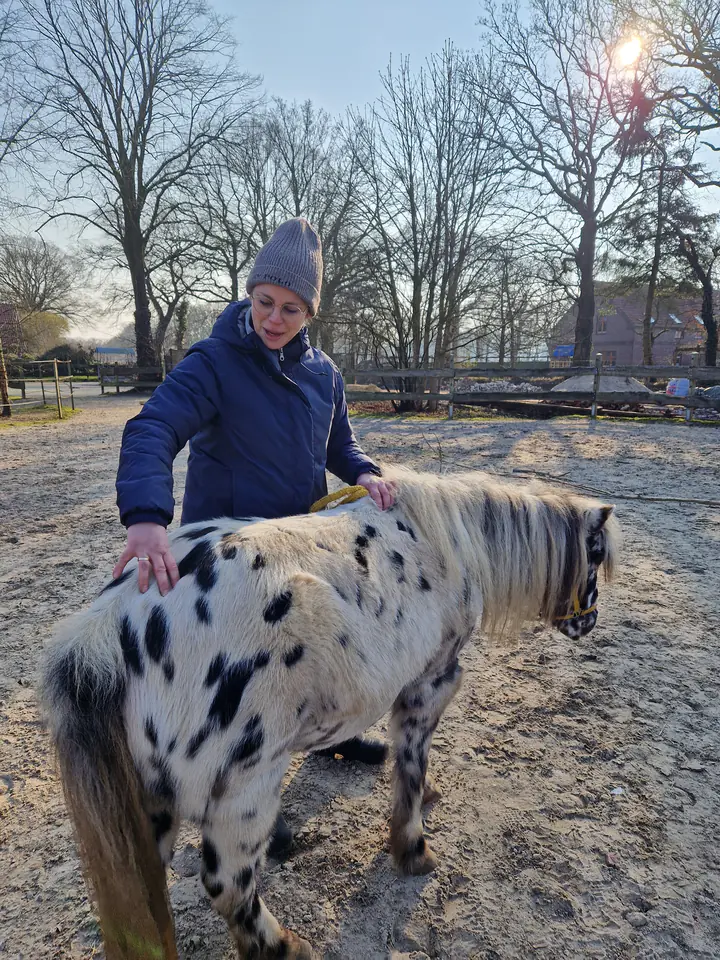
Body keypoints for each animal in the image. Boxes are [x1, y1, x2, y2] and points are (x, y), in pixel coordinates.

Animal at [41, 466, 617, 959]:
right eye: (593, 555)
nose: (587, 623)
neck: (450, 544)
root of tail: (111, 625)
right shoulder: (429, 685)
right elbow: (412, 762)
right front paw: (413, 847)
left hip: (152, 803)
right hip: (243, 791)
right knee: (228, 885)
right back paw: (284, 946)